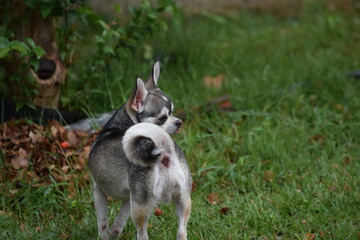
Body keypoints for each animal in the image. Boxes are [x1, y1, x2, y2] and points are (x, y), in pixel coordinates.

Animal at [88, 61, 191, 239]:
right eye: (163, 117)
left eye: (171, 112)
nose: (179, 122)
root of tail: (164, 151)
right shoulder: (129, 199)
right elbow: (120, 219)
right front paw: (115, 232)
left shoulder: (98, 191)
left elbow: (102, 222)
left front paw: (105, 235)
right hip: (182, 199)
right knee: (181, 231)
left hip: (139, 209)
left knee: (142, 233)